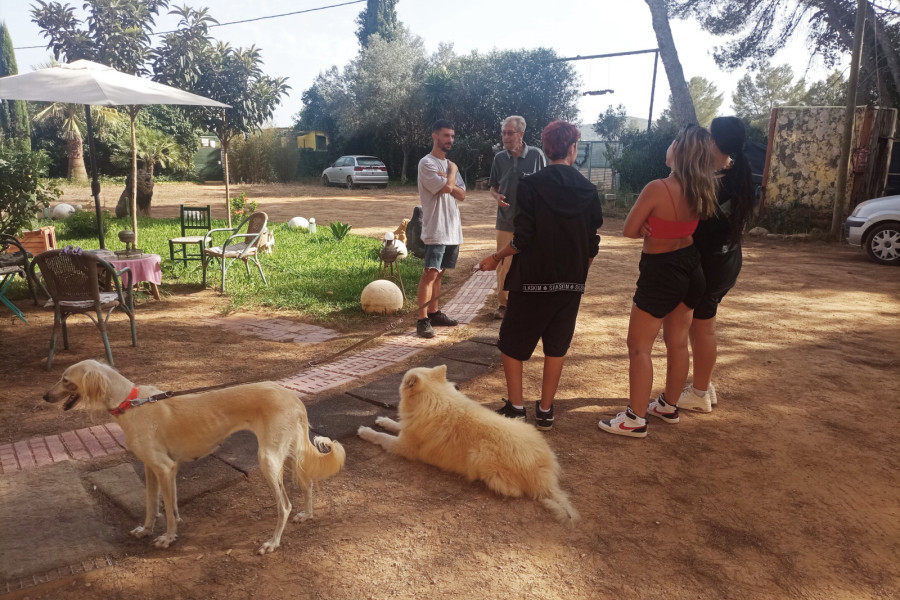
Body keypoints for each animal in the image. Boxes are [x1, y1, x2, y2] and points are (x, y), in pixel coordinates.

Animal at [44, 358, 348, 556]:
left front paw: (167, 538)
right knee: (307, 484)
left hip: (269, 459)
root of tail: (293, 396)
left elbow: (165, 509)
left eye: (65, 380)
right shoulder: (154, 468)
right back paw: (307, 514)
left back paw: (272, 543)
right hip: (290, 453)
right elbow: (154, 505)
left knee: (284, 505)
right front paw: (148, 529)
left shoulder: (164, 467)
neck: (132, 403)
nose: (45, 397)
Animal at [356, 364, 576, 524]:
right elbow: (394, 425)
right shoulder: (406, 430)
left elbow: (381, 437)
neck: (435, 398)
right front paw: (382, 420)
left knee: (513, 491)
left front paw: (366, 432)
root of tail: (544, 479)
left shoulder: (403, 446)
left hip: (481, 455)